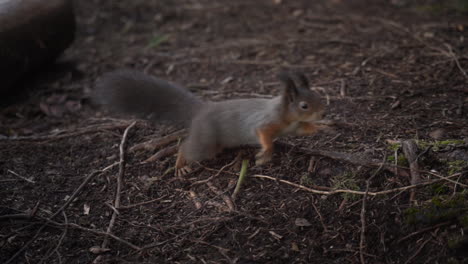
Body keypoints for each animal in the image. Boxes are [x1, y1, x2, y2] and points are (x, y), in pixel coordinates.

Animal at [94, 70, 328, 176]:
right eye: (304, 105)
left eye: (318, 96)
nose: (323, 113)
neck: (286, 114)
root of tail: (202, 110)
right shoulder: (265, 122)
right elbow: (262, 134)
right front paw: (266, 152)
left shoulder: (294, 127)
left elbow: (303, 131)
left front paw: (320, 127)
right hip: (205, 142)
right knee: (185, 147)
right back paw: (180, 165)